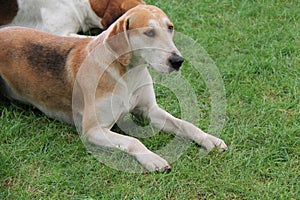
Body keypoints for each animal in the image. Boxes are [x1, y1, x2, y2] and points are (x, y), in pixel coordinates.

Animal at [0, 4, 226, 171]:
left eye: (170, 28)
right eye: (149, 32)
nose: (178, 61)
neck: (127, 74)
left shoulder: (150, 111)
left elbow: (186, 125)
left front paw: (208, 139)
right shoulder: (93, 130)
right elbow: (134, 141)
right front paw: (152, 158)